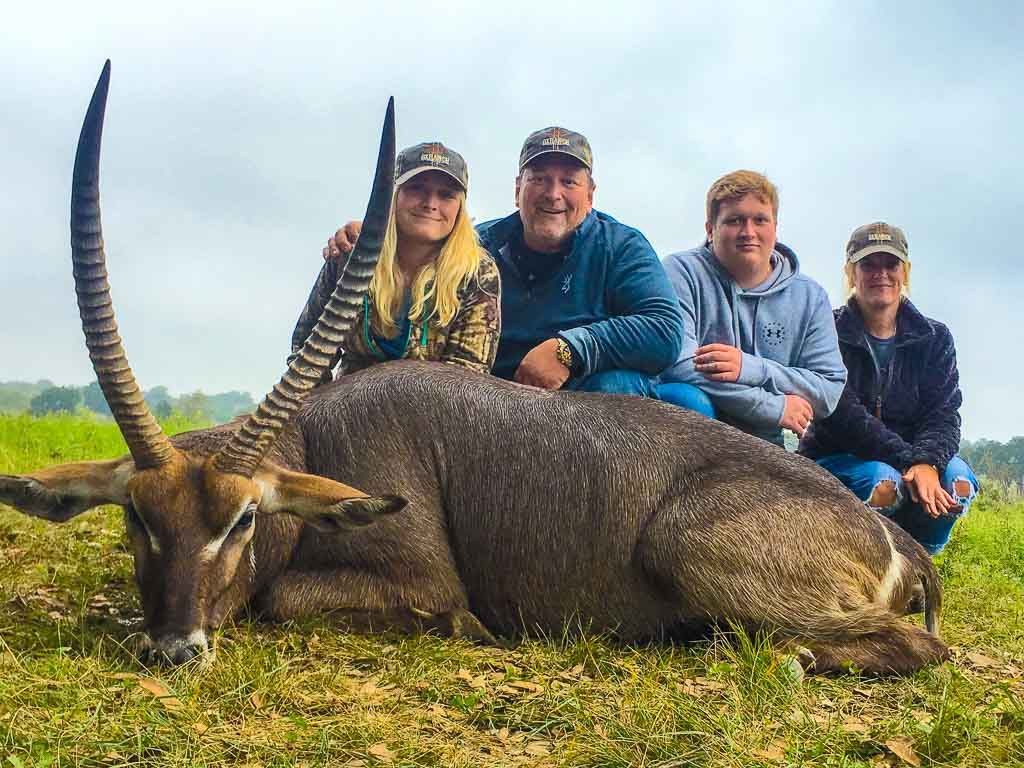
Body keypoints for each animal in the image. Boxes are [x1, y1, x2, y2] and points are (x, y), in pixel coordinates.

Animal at [0, 63, 951, 674]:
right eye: (135, 517)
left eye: (241, 520)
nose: (175, 649)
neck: (319, 438)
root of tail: (895, 535)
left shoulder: (417, 576)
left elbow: (288, 599)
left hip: (685, 543)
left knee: (920, 648)